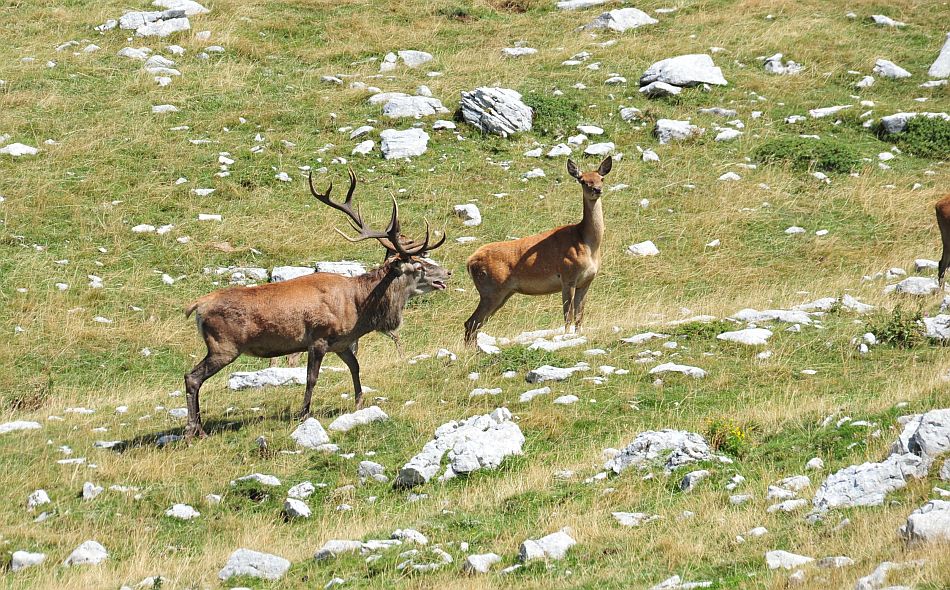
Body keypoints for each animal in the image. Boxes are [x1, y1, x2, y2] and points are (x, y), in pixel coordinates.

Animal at [188, 170, 456, 440]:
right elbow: (312, 378)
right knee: (192, 377)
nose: (447, 272)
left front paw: (359, 403)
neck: (358, 308)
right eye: (419, 266)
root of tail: (197, 306)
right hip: (223, 345)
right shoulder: (318, 338)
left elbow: (356, 367)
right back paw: (196, 430)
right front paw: (304, 413)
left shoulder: (342, 343)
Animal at [464, 157, 612, 344]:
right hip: (491, 289)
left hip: (503, 293)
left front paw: (578, 336)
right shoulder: (567, 276)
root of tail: (469, 262)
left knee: (474, 324)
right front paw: (566, 337)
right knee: (471, 323)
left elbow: (580, 316)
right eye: (583, 180)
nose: (597, 190)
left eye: (602, 178)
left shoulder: (586, 281)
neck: (587, 244)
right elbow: (568, 315)